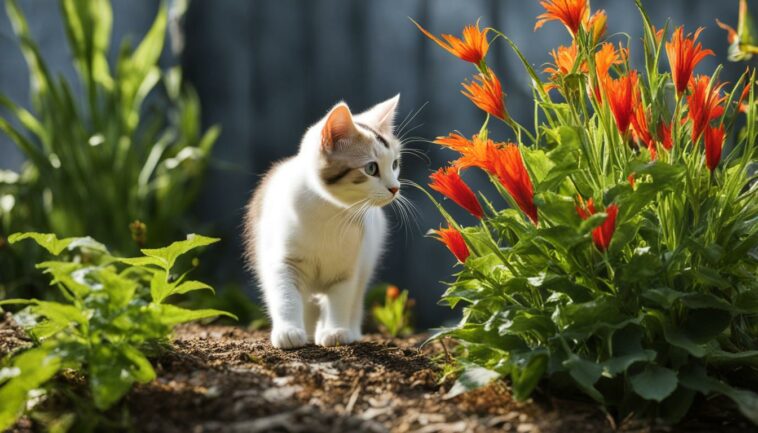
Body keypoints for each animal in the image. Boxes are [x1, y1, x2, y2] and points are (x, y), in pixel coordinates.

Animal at [246, 95, 406, 348]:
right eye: (371, 168)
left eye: (395, 164)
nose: (395, 188)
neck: (329, 213)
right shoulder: (284, 261)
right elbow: (285, 295)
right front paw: (289, 331)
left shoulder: (348, 267)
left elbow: (341, 299)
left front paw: (335, 332)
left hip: (367, 260)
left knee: (355, 299)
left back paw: (348, 330)